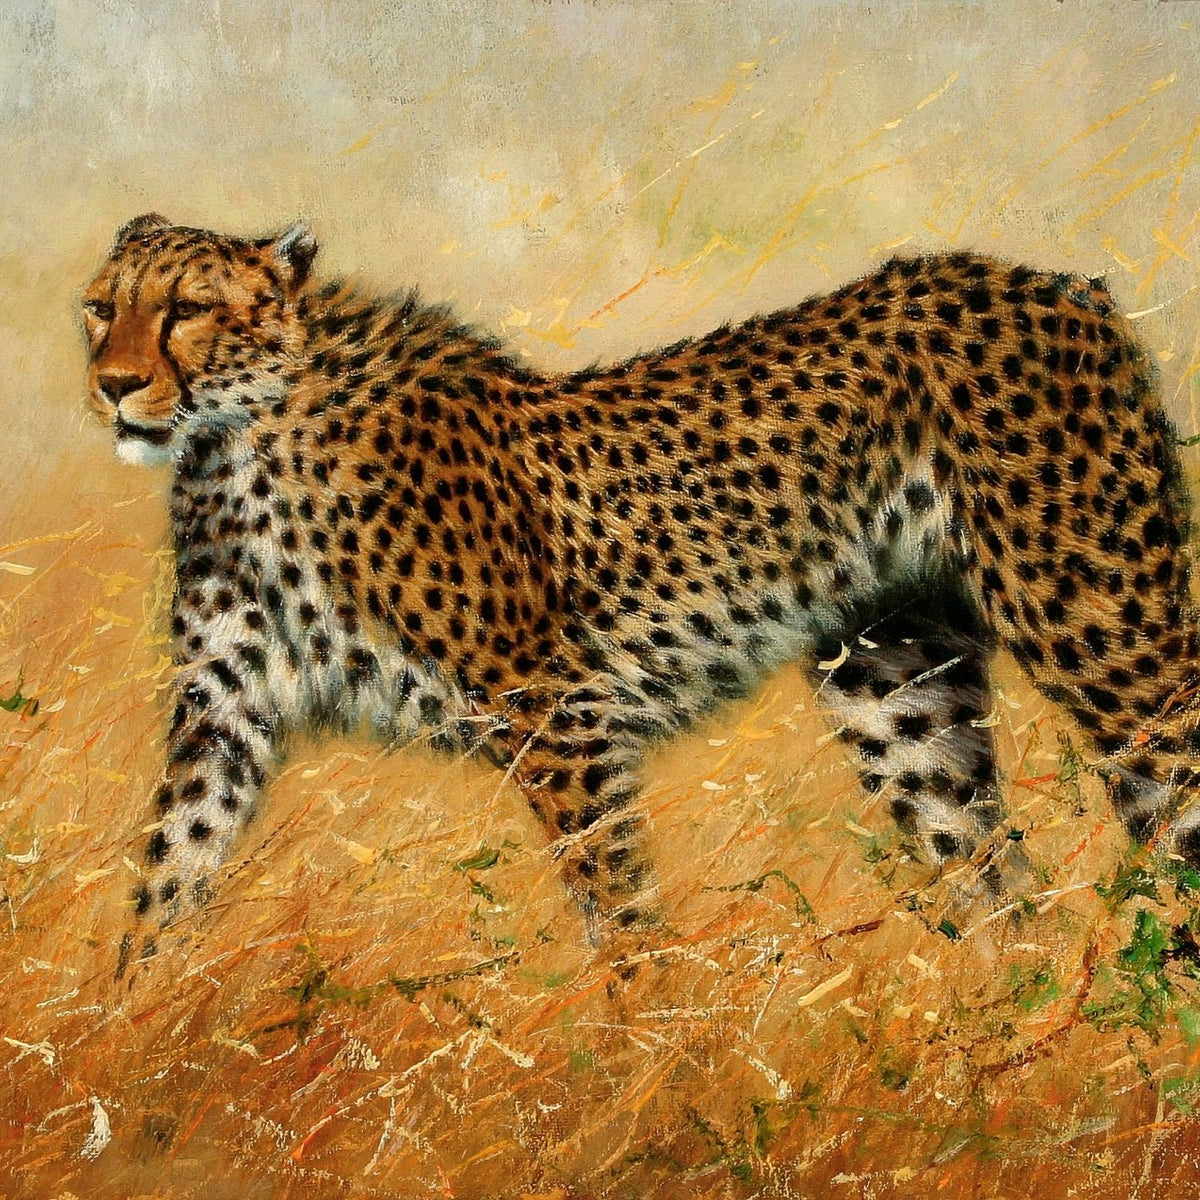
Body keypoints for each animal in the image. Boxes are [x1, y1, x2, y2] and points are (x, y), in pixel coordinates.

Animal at [81, 213, 1200, 976]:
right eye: (101, 307)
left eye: (187, 310)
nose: (112, 385)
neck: (235, 444)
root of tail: (1051, 280)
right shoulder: (223, 712)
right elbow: (170, 874)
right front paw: (134, 1026)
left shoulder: (559, 710)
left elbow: (613, 908)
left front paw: (652, 1053)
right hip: (898, 687)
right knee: (996, 877)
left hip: (1102, 627)